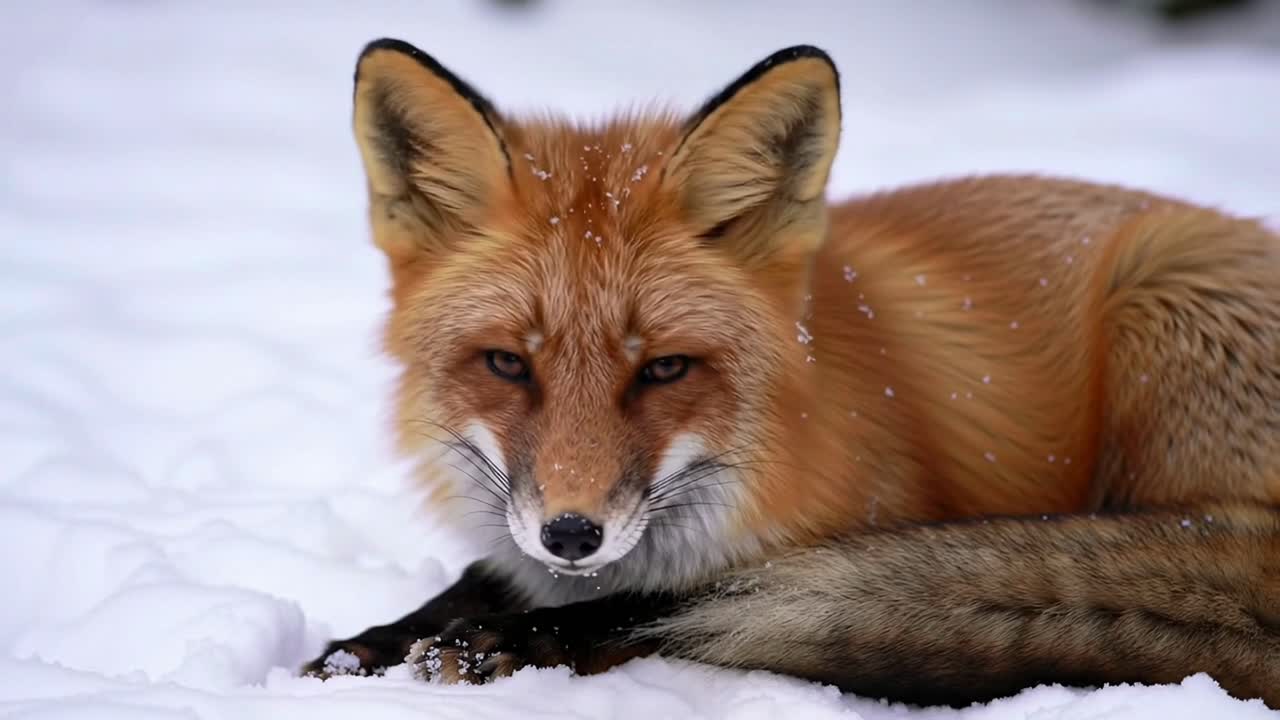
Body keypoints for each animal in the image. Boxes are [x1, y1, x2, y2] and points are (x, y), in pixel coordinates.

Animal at [301, 38, 1280, 709]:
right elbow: (476, 577)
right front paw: (365, 646)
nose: (571, 534)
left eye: (665, 368)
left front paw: (509, 637)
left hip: (1162, 289)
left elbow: (657, 599)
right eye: (507, 363)